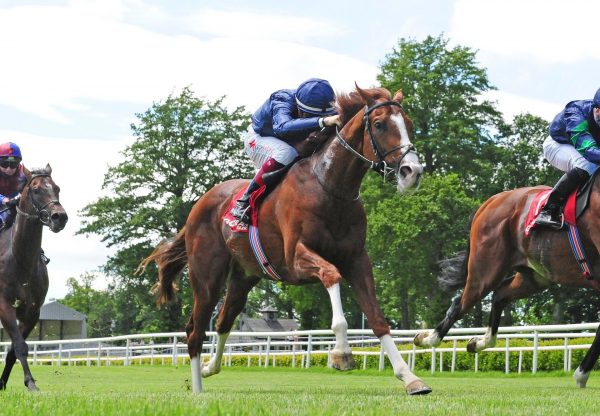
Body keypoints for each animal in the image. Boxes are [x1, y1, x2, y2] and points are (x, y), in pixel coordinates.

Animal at [0, 164, 68, 392]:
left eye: (57, 188)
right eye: (36, 189)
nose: (59, 217)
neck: (20, 260)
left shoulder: (33, 311)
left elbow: (13, 349)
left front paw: (4, 383)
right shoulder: (4, 304)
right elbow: (20, 345)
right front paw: (30, 382)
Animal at [414, 180, 600, 388]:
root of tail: (492, 200)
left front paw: (582, 374)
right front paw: (581, 375)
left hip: (535, 276)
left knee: (499, 295)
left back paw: (478, 342)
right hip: (486, 272)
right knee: (460, 304)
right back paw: (428, 339)